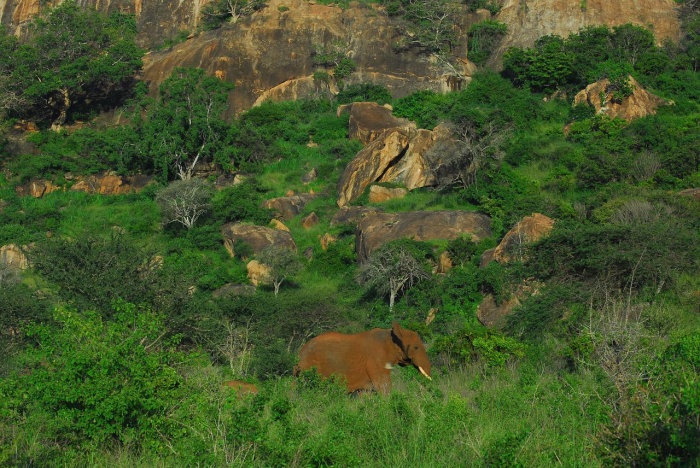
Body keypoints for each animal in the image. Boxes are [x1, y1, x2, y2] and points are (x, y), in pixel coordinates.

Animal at [292, 320, 430, 394]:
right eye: (416, 347)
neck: (391, 337)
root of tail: (299, 353)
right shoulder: (376, 360)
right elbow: (384, 387)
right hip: (310, 365)